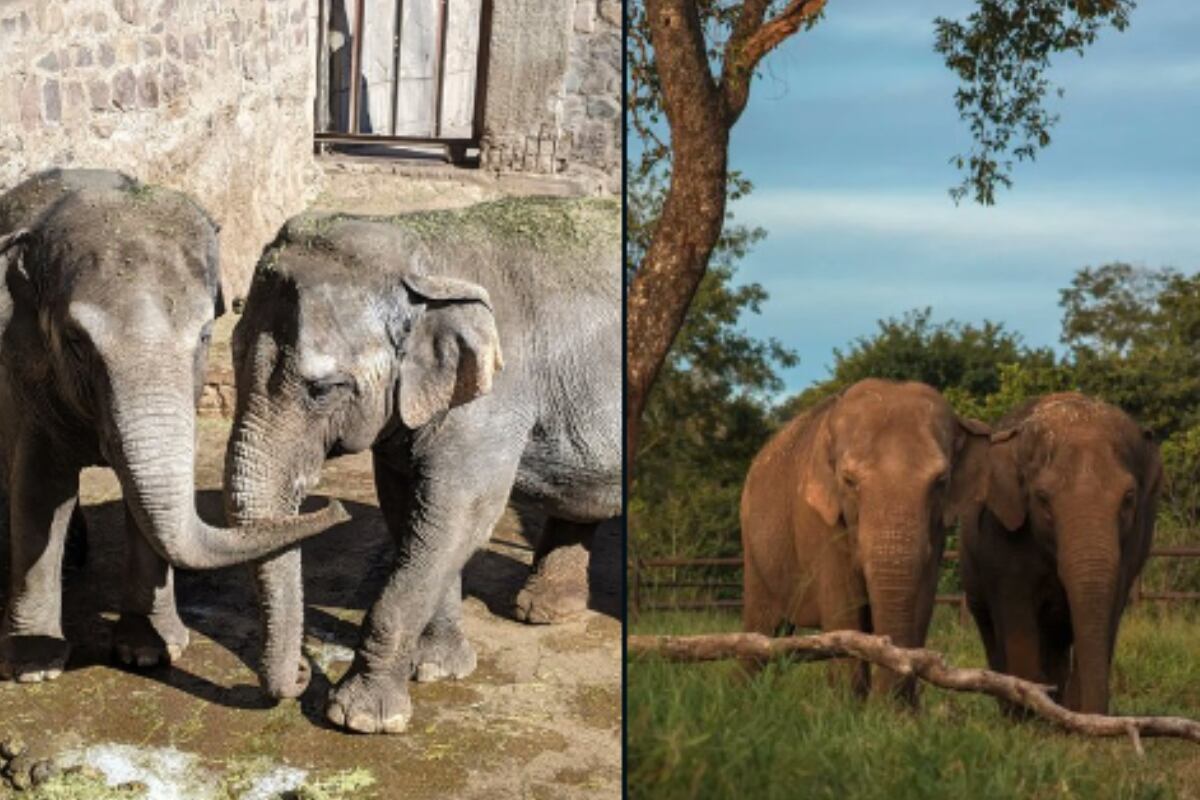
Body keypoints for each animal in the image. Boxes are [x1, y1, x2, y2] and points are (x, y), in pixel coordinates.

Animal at [0, 169, 348, 681]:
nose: (336, 507)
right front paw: (34, 667)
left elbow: (141, 503)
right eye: (75, 341)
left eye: (204, 335)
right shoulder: (25, 369)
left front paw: (151, 652)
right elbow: (39, 489)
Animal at [220, 195, 624, 734]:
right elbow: (411, 509)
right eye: (233, 353)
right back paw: (542, 613)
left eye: (321, 389)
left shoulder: (493, 397)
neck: (422, 249)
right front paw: (437, 669)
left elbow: (462, 513)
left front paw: (362, 719)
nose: (302, 674)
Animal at [739, 381, 993, 700]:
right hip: (753, 548)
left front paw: (898, 711)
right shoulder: (818, 521)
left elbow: (921, 602)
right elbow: (844, 610)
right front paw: (847, 706)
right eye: (849, 481)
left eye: (941, 482)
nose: (886, 704)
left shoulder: (935, 531)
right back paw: (745, 698)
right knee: (761, 629)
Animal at [955, 393, 1161, 714]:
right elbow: (1016, 608)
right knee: (990, 625)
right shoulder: (1000, 535)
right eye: (1042, 499)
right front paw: (1031, 717)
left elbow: (1110, 609)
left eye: (1129, 498)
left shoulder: (1135, 541)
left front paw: (1072, 714)